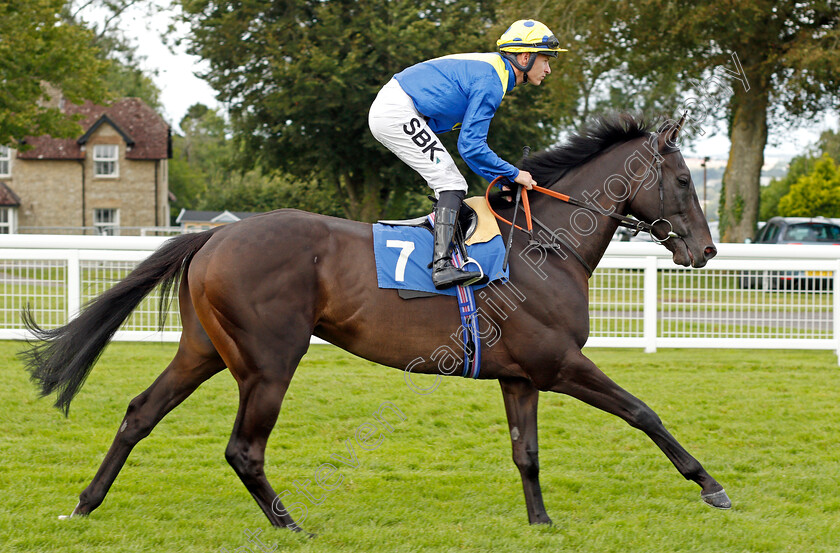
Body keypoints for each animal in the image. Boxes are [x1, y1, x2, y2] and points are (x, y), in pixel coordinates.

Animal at [19, 112, 728, 532]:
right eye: (685, 179)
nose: (706, 250)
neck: (543, 245)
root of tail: (213, 237)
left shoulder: (520, 375)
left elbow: (525, 451)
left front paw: (541, 523)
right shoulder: (558, 364)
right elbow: (643, 412)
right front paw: (711, 486)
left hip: (204, 350)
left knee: (140, 413)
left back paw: (83, 505)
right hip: (269, 361)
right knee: (243, 449)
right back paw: (289, 525)